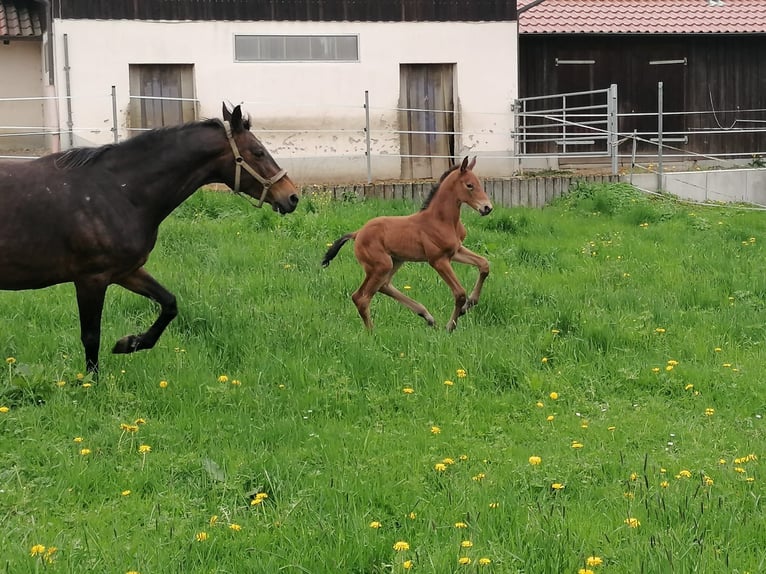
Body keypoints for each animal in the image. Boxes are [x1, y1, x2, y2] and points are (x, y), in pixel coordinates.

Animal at [0, 103, 300, 374]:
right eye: (258, 152)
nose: (292, 196)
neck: (118, 191)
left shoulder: (126, 272)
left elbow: (169, 304)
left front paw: (129, 343)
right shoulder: (91, 278)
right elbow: (91, 336)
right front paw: (93, 382)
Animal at [322, 158, 492, 332]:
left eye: (479, 183)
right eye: (469, 185)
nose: (487, 208)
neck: (441, 220)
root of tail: (357, 233)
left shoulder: (456, 251)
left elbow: (484, 265)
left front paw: (470, 303)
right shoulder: (438, 260)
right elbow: (459, 293)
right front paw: (451, 325)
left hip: (395, 261)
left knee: (383, 286)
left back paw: (427, 316)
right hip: (380, 265)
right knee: (361, 297)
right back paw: (372, 332)